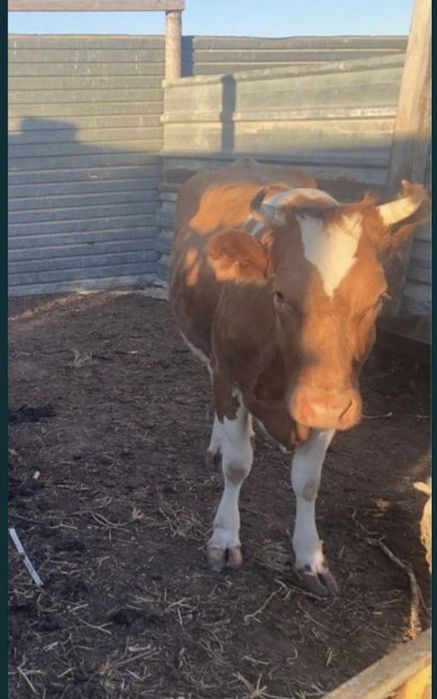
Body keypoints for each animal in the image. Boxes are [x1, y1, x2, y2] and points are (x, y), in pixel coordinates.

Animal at [169, 157, 428, 596]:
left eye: (378, 297)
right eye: (280, 293)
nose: (322, 404)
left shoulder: (334, 399)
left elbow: (308, 482)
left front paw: (311, 557)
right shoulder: (230, 377)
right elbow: (237, 466)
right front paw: (225, 538)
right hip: (207, 352)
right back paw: (218, 442)